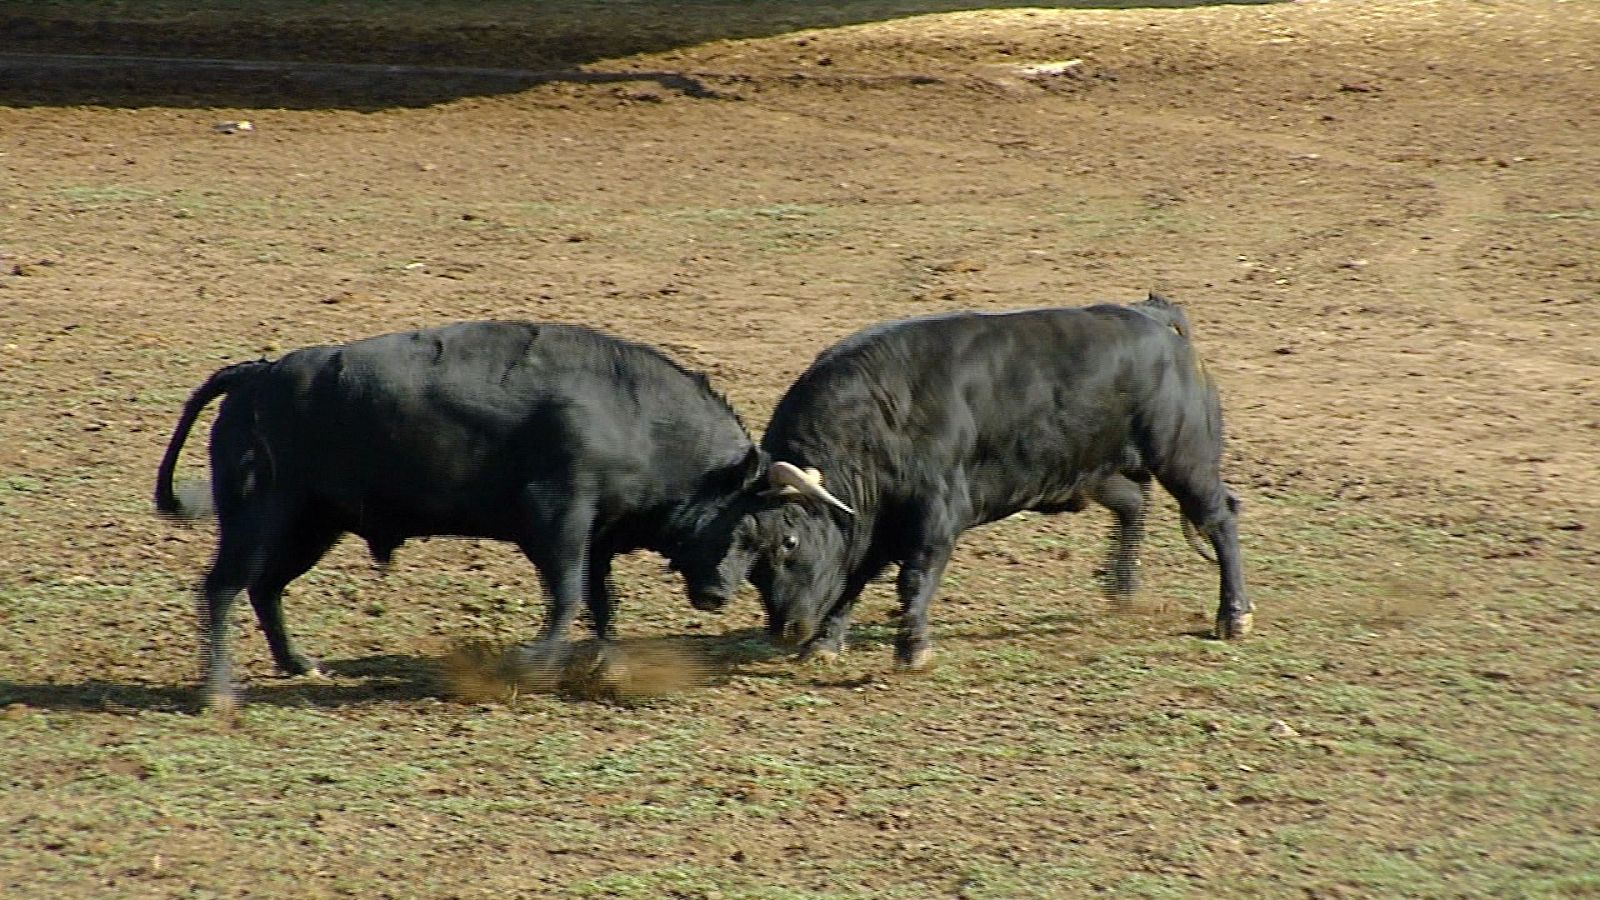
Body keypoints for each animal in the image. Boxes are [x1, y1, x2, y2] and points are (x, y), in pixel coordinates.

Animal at [152, 318, 764, 711]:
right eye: (746, 525)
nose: (718, 594)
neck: (634, 411)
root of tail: (257, 375)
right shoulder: (560, 521)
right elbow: (568, 598)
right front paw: (528, 667)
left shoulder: (597, 540)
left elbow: (601, 606)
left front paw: (609, 670)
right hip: (259, 521)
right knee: (223, 588)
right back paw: (219, 692)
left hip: (311, 527)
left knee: (265, 588)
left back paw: (298, 663)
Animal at [710, 294, 1248, 666]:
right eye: (748, 560)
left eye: (789, 542)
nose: (785, 630)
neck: (881, 415)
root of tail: (1155, 317)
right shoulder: (879, 524)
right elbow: (855, 579)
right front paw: (824, 643)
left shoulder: (937, 516)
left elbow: (913, 577)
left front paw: (913, 648)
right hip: (1093, 470)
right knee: (1134, 502)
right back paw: (1123, 589)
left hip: (1184, 459)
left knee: (1219, 519)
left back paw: (1233, 615)